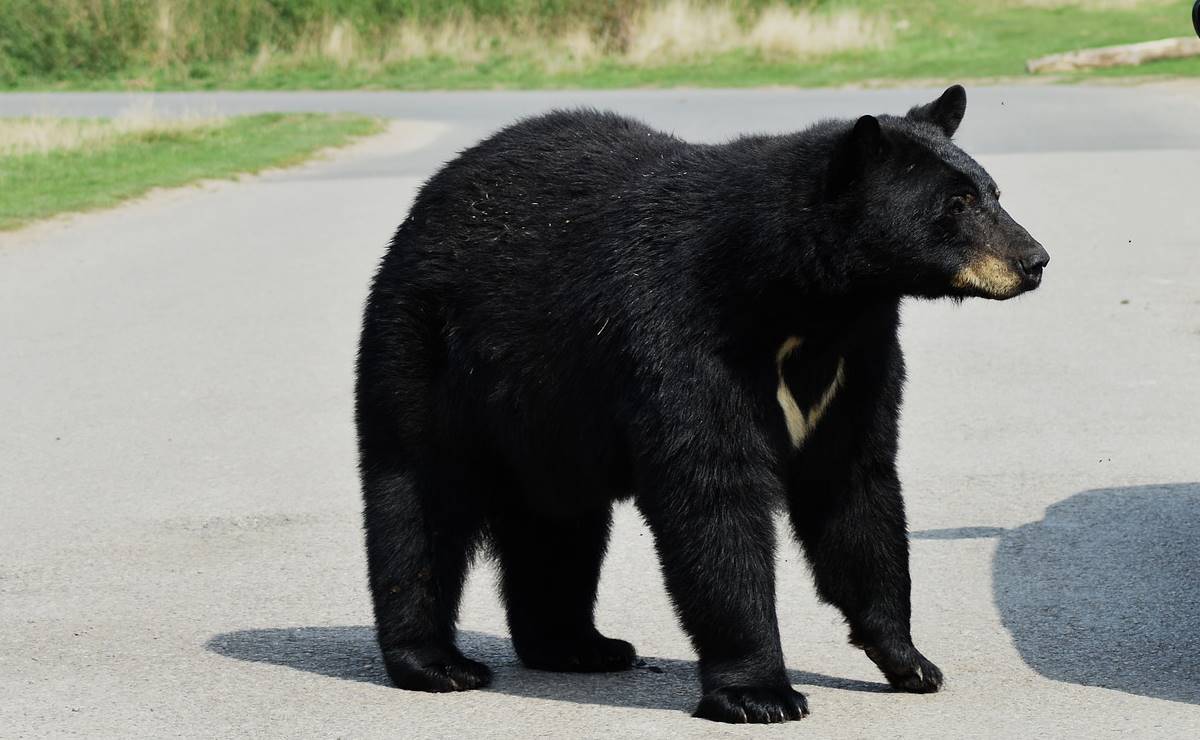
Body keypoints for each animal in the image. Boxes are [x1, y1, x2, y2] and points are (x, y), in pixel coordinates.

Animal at [355, 85, 1051, 719]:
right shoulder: (685, 333)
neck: (805, 303)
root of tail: (427, 200)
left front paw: (911, 661)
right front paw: (761, 693)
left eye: (993, 192)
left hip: (549, 414)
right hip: (422, 350)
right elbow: (714, 493)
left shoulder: (857, 360)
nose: (1035, 260)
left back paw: (579, 646)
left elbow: (856, 488)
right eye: (956, 203)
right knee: (418, 502)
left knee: (560, 524)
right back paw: (436, 663)